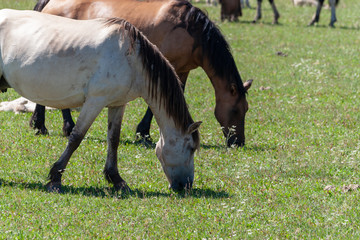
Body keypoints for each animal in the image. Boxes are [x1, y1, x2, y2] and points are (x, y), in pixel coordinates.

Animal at [0, 9, 202, 192]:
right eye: (191, 148)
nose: (186, 186)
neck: (131, 58)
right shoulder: (95, 101)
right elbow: (76, 137)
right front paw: (56, 177)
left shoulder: (118, 104)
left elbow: (113, 139)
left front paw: (116, 179)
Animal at [32, 0, 252, 146]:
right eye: (235, 110)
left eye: (246, 109)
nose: (238, 142)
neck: (190, 29)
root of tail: (49, 3)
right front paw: (143, 133)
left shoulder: (183, 70)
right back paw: (57, 126)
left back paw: (44, 125)